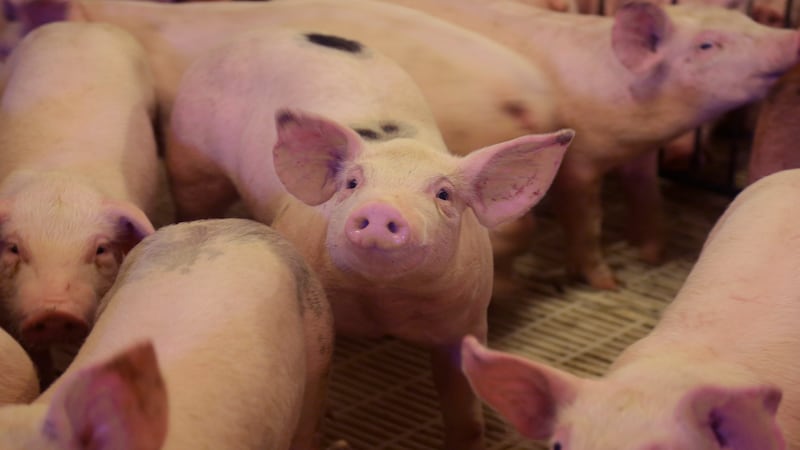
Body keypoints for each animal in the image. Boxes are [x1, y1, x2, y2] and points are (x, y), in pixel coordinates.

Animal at [166, 29, 572, 449]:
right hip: (191, 160)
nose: (381, 209)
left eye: (444, 194)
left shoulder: (467, 318)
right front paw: (330, 417)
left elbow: (463, 403)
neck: (382, 301)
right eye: (352, 183)